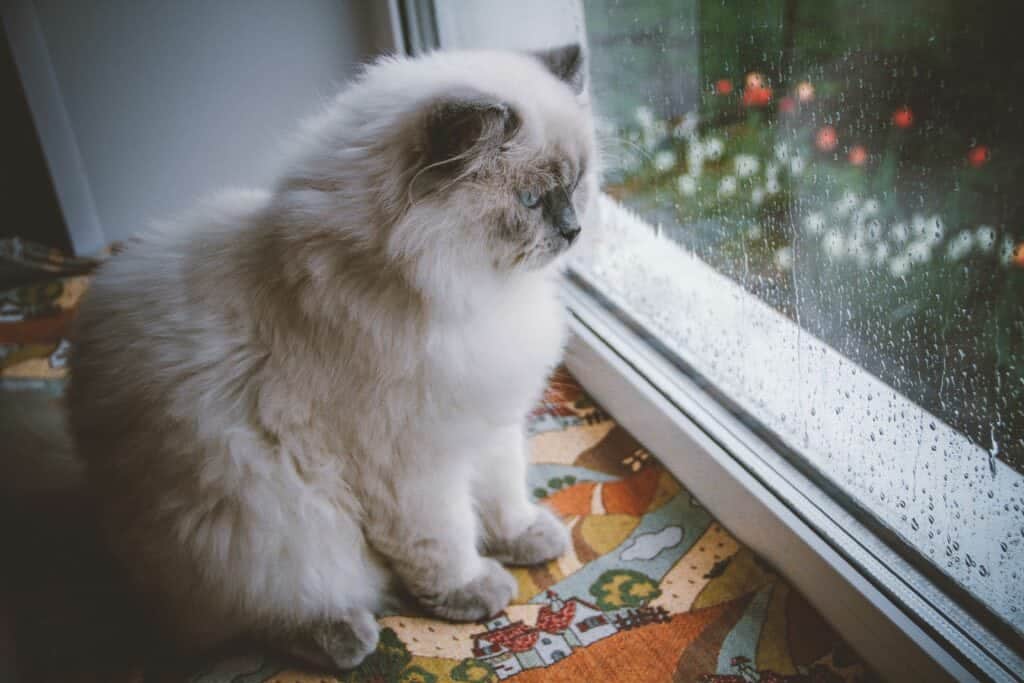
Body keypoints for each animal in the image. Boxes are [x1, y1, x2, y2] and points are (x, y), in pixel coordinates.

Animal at [68, 42, 598, 667]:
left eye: (579, 184)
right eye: (532, 200)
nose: (573, 230)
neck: (473, 297)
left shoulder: (488, 426)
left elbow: (503, 496)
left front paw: (527, 538)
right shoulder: (413, 464)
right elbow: (444, 542)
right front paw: (474, 592)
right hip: (264, 518)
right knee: (266, 611)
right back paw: (345, 637)